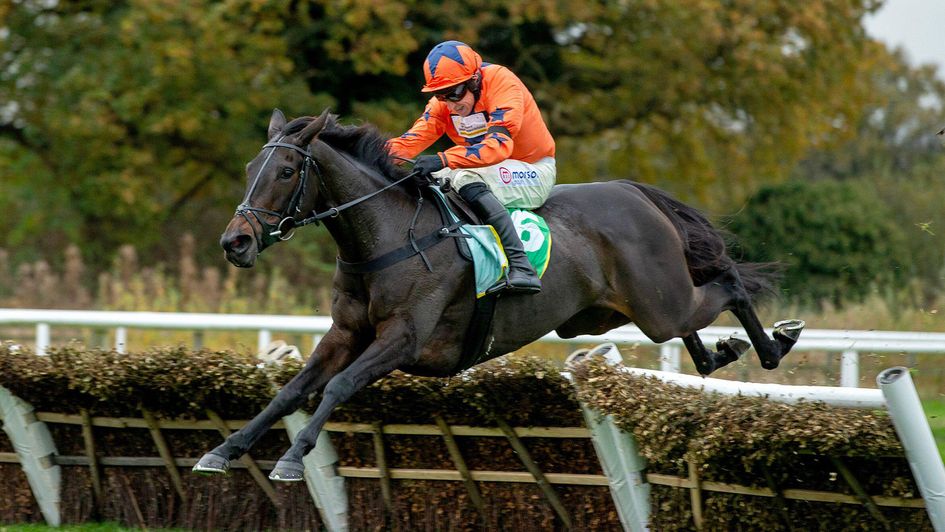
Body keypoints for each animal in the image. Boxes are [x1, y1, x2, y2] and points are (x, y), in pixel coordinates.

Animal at [194, 108, 804, 482]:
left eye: (286, 170)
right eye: (251, 167)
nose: (234, 242)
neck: (386, 236)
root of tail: (633, 191)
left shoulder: (403, 339)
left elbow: (339, 386)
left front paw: (293, 460)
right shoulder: (346, 333)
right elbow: (291, 390)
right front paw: (223, 449)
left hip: (656, 304)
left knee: (727, 285)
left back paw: (776, 343)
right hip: (603, 316)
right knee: (695, 321)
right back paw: (721, 352)